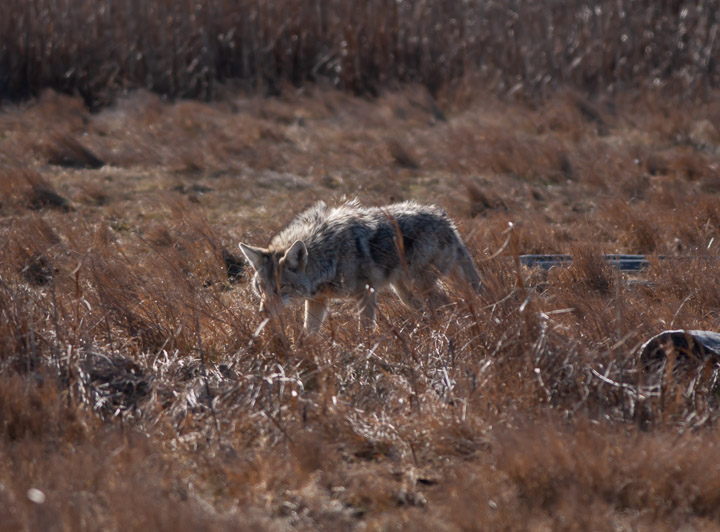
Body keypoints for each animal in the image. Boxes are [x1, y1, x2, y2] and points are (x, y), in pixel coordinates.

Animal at [239, 200, 482, 332]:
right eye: (260, 288)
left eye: (281, 288)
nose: (263, 312)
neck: (328, 256)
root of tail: (445, 220)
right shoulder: (317, 300)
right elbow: (309, 332)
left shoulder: (366, 293)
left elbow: (365, 330)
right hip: (407, 294)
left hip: (420, 287)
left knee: (451, 304)